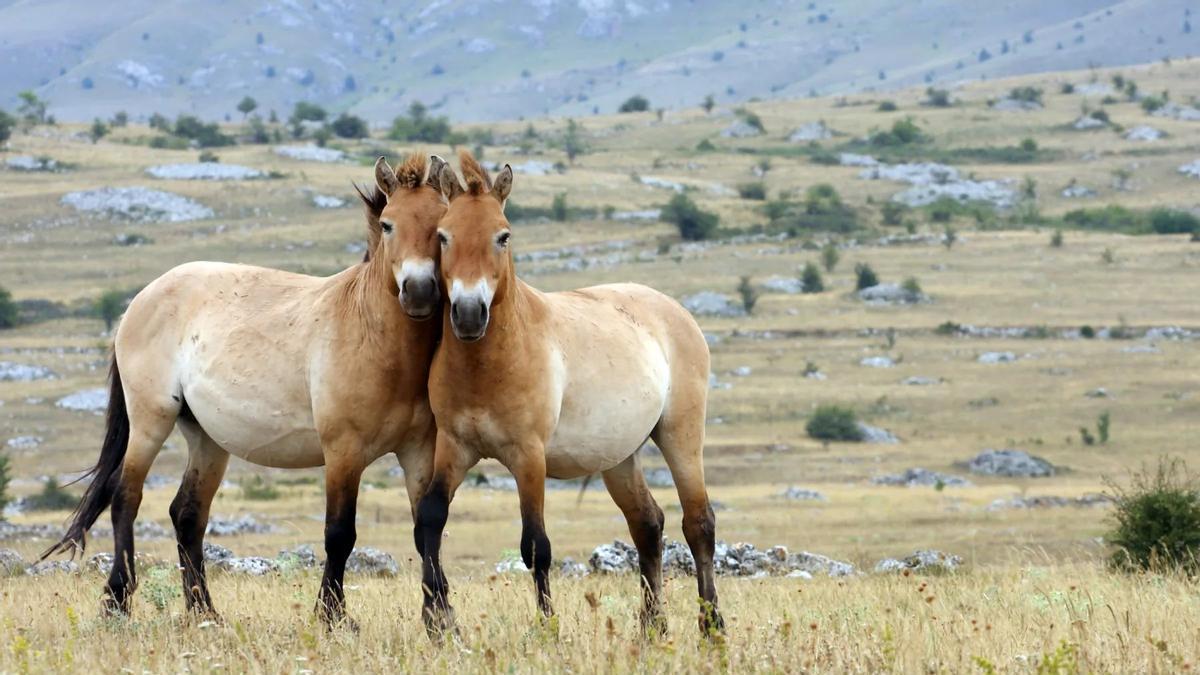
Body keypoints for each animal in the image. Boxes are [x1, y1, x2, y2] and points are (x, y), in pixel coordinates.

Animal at [43, 154, 448, 627]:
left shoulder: (418, 451)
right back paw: (117, 603)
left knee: (187, 515)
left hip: (206, 438)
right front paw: (333, 617)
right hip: (150, 421)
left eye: (441, 226)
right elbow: (339, 534)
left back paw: (204, 610)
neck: (372, 334)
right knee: (126, 497)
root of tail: (140, 300)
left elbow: (426, 529)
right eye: (387, 225)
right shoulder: (343, 452)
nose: (418, 291)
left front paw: (441, 618)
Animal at [414, 151, 723, 637]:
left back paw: (712, 626)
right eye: (443, 236)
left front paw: (547, 627)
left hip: (681, 435)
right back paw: (651, 628)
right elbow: (430, 518)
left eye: (503, 236)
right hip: (619, 457)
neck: (489, 364)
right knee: (647, 524)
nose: (468, 314)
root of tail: (675, 310)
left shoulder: (528, 457)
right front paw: (436, 622)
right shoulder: (455, 447)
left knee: (698, 524)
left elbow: (535, 546)